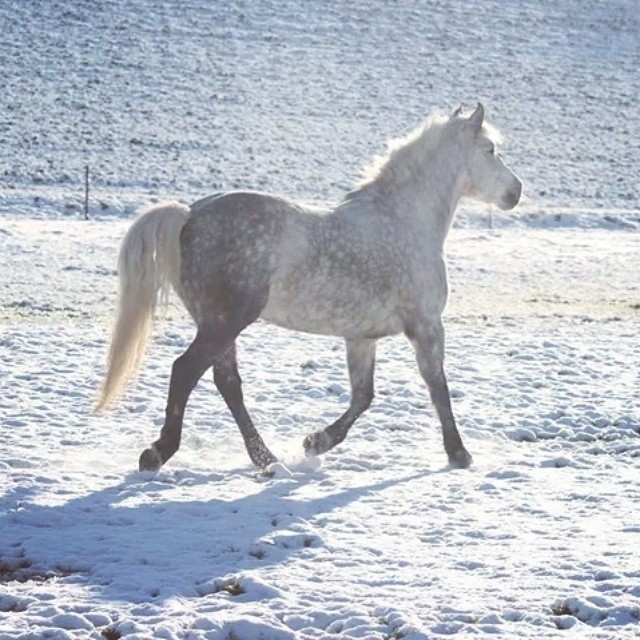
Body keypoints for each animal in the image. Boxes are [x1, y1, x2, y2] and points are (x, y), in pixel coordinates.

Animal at [97, 102, 524, 472]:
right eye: (490, 150)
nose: (516, 191)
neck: (403, 220)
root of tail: (189, 214)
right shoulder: (427, 325)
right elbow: (437, 387)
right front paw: (459, 453)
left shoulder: (361, 337)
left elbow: (363, 396)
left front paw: (316, 441)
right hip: (226, 320)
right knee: (186, 371)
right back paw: (159, 453)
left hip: (218, 323)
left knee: (226, 382)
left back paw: (265, 459)